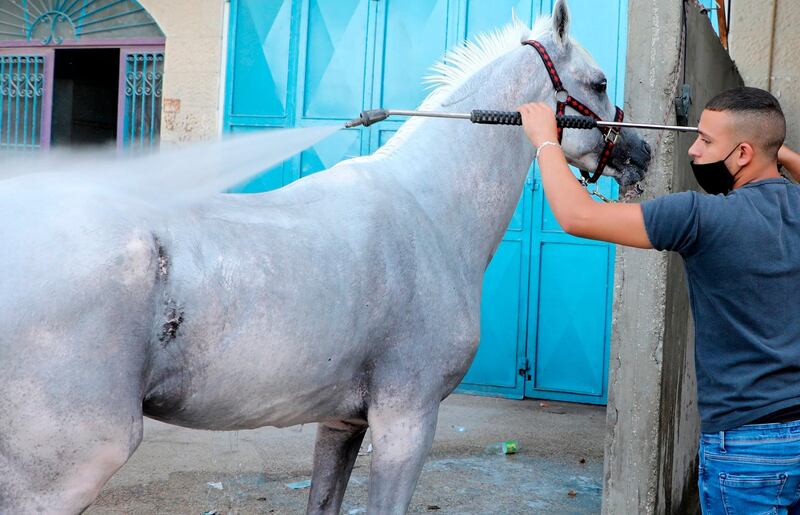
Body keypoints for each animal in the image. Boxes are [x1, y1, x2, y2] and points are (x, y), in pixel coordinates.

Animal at [0, 2, 648, 512]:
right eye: (597, 82)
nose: (640, 153)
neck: (428, 210)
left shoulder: (341, 424)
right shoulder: (405, 424)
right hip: (68, 466)